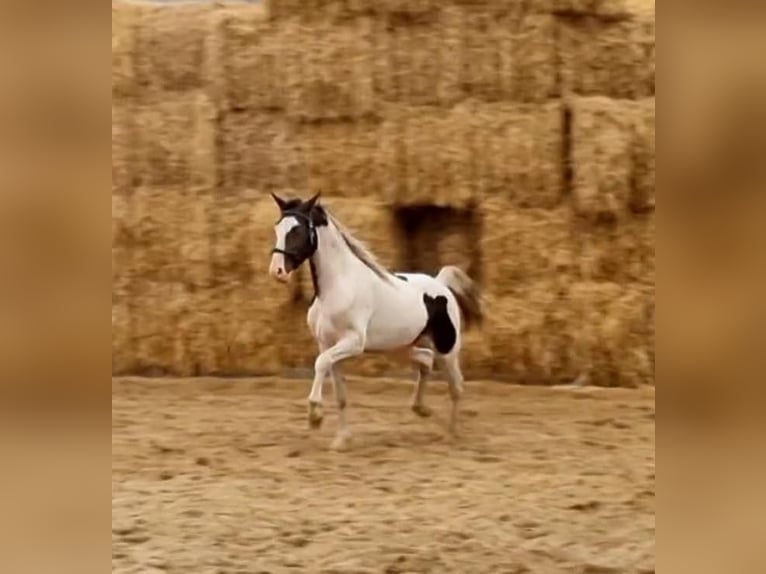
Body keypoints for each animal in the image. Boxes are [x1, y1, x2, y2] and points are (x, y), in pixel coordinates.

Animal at [270, 192, 484, 450]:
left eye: (298, 230)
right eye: (277, 228)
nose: (277, 271)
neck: (338, 286)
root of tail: (441, 284)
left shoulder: (353, 342)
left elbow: (320, 364)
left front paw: (315, 417)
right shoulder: (327, 344)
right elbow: (340, 393)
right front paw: (341, 440)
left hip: (447, 349)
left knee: (456, 386)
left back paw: (451, 434)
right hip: (400, 348)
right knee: (425, 360)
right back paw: (422, 409)